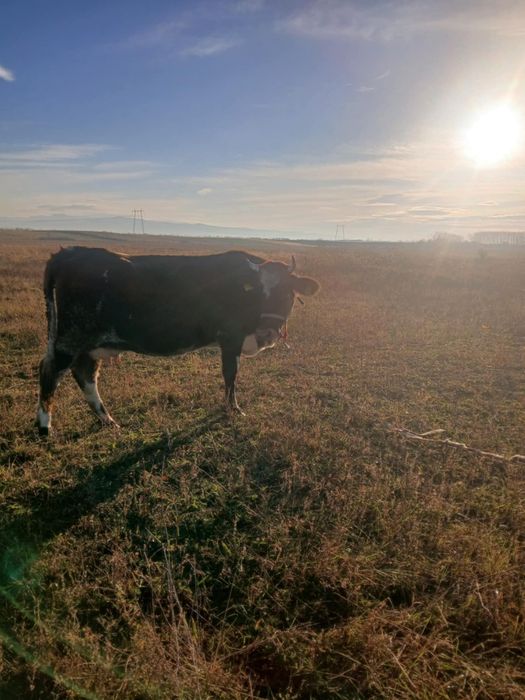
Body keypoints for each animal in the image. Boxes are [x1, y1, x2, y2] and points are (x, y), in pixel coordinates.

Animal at [36, 246, 320, 435]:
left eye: (287, 292)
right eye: (260, 291)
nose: (266, 333)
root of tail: (70, 252)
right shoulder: (230, 338)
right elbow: (231, 374)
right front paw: (233, 409)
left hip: (89, 345)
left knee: (85, 375)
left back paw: (107, 420)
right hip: (69, 339)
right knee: (50, 371)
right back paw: (44, 425)